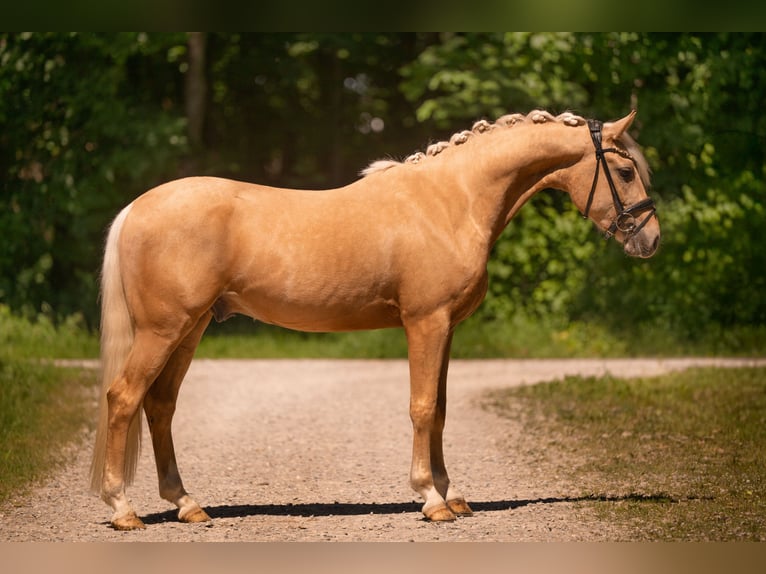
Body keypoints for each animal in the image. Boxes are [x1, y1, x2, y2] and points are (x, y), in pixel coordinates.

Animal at [89, 109, 660, 530]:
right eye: (625, 172)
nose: (650, 241)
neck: (451, 201)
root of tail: (136, 208)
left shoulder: (446, 328)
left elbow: (441, 410)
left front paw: (453, 495)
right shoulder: (426, 323)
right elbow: (422, 407)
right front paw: (430, 499)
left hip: (191, 329)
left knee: (160, 406)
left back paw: (187, 504)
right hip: (164, 330)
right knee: (125, 398)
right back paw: (123, 509)